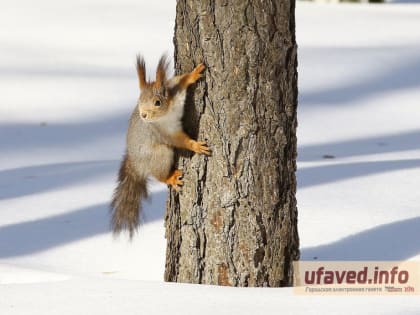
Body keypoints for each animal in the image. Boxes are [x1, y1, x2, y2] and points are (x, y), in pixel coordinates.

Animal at [110, 54, 210, 238]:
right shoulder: (162, 132)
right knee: (159, 174)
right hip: (160, 155)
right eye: (139, 101)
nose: (143, 115)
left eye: (157, 102)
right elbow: (179, 140)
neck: (167, 112)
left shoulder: (175, 92)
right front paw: (196, 146)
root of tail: (136, 165)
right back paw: (170, 177)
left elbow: (180, 81)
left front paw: (193, 74)